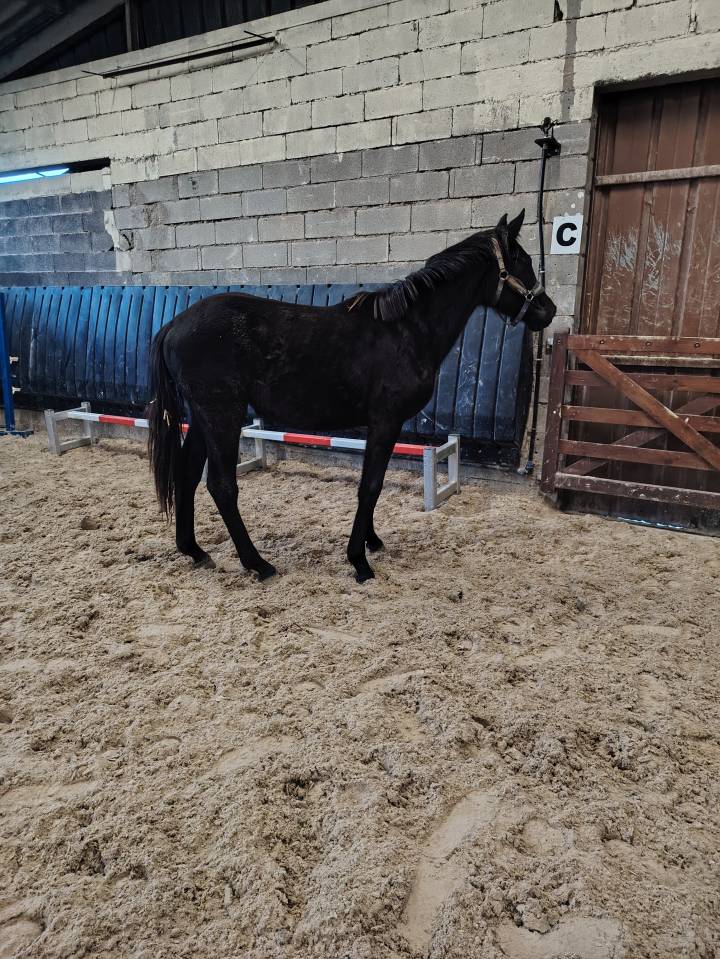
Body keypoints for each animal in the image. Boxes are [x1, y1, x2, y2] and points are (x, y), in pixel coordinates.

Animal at [147, 210, 556, 583]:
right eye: (522, 261)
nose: (547, 311)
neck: (406, 331)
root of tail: (173, 325)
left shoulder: (383, 425)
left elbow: (373, 484)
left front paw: (372, 541)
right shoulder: (386, 421)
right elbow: (369, 486)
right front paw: (359, 561)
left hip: (203, 417)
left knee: (187, 472)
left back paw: (195, 550)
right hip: (222, 415)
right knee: (221, 485)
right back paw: (258, 564)